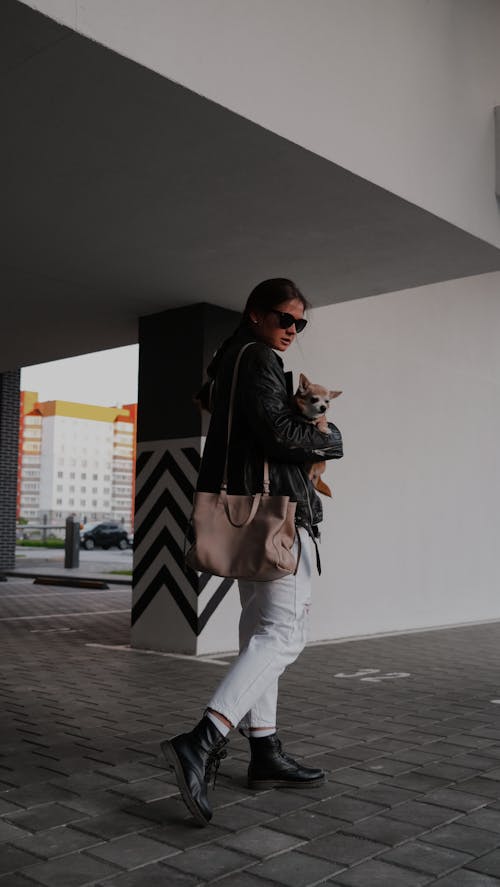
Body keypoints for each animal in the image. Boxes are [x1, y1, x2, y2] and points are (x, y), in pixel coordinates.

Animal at [294, 372, 342, 500]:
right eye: (314, 399)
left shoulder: (323, 418)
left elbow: (322, 422)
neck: (310, 418)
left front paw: (325, 429)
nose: (323, 407)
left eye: (327, 401)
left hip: (315, 464)